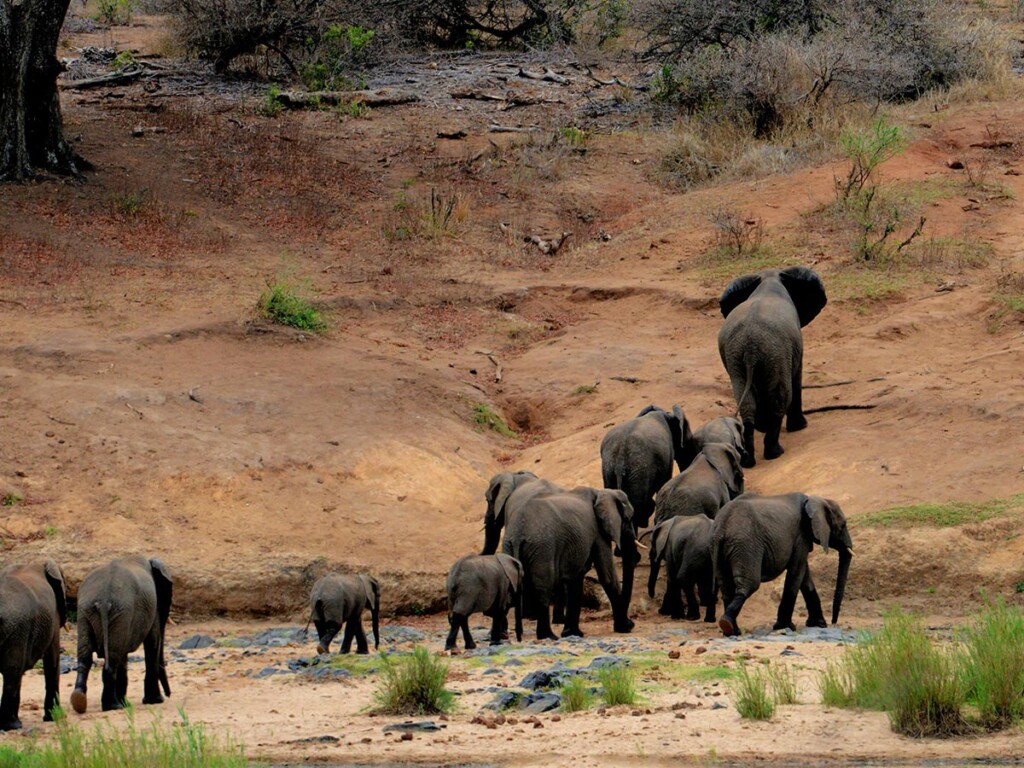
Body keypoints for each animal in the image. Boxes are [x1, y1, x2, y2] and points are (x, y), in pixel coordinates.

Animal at [0, 561, 67, 730]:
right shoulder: (54, 616)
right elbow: (52, 660)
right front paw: (55, 718)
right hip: (17, 629)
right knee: (13, 670)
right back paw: (13, 725)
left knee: (13, 672)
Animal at [71, 555, 172, 714]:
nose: (168, 695)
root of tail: (103, 600)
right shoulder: (152, 609)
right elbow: (152, 643)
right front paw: (155, 701)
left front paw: (127, 704)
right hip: (119, 613)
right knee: (112, 659)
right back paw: (113, 706)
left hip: (86, 612)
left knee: (85, 656)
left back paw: (79, 701)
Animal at [503, 486, 636, 640]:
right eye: (628, 519)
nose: (631, 623)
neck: (602, 492)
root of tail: (518, 535)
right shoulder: (598, 532)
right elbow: (607, 576)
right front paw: (625, 628)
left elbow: (576, 580)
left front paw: (572, 634)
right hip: (542, 549)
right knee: (543, 587)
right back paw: (548, 636)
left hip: (509, 546)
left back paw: (502, 636)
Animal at [711, 493, 853, 637]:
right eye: (843, 525)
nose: (833, 622)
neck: (816, 500)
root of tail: (722, 526)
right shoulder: (801, 534)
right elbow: (796, 571)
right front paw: (785, 626)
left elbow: (804, 575)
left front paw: (818, 624)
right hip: (746, 544)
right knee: (749, 585)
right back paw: (728, 625)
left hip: (721, 547)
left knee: (726, 587)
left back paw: (732, 630)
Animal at [718, 266, 827, 467]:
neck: (769, 278)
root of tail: (751, 347)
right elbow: (796, 378)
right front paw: (800, 427)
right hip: (776, 351)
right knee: (780, 396)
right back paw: (775, 453)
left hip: (736, 356)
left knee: (746, 401)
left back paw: (748, 461)